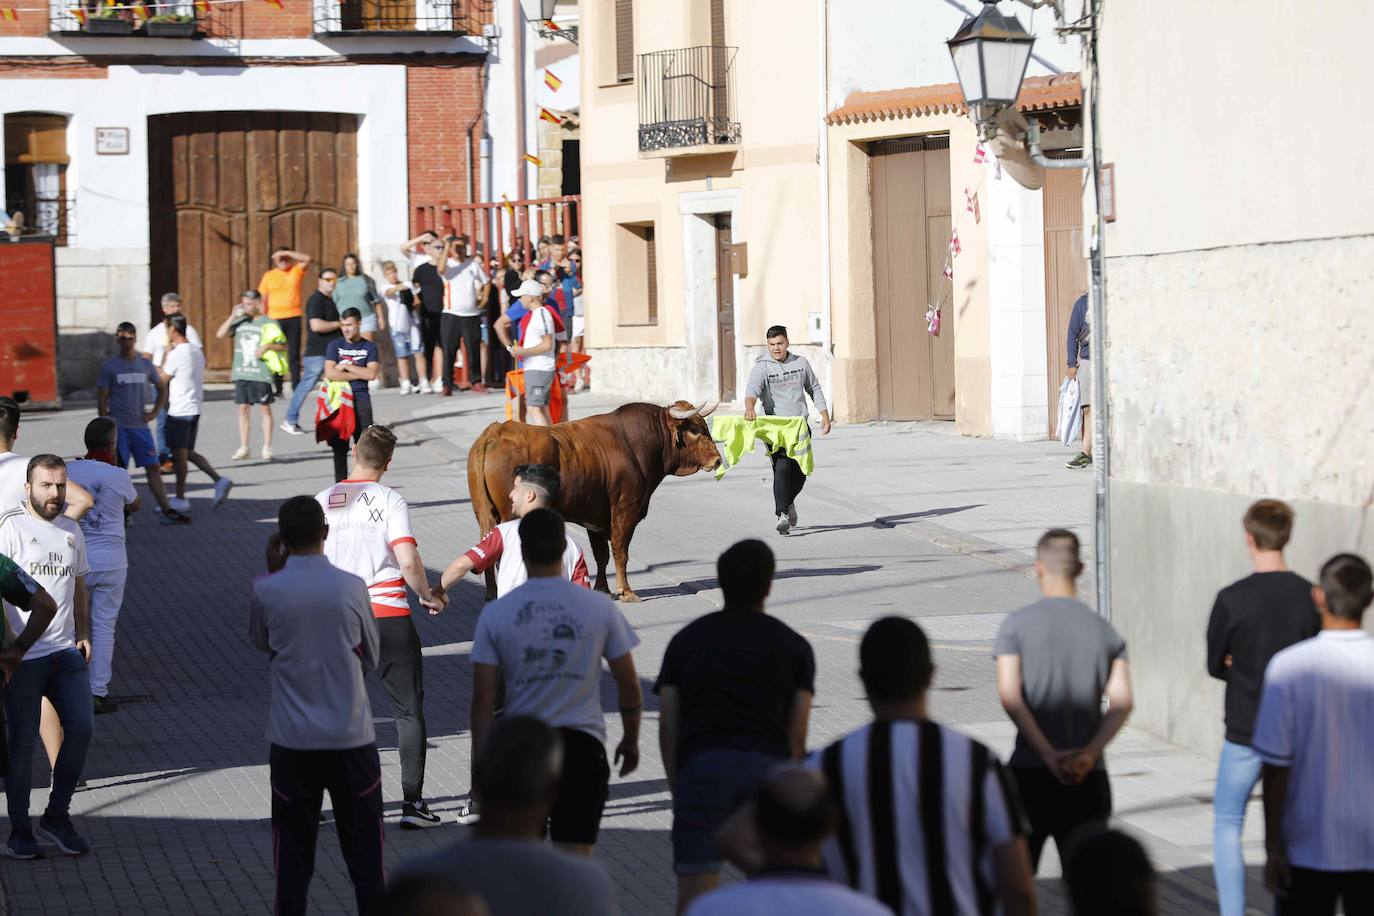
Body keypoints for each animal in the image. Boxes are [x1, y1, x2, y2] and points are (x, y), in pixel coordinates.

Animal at [464, 398, 725, 601]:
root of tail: (495, 433)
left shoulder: (595, 517)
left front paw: (602, 588)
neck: (637, 444)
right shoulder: (625, 510)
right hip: (510, 514)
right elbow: (620, 550)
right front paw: (625, 591)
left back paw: (492, 593)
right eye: (695, 430)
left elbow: (602, 554)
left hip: (483, 513)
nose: (717, 459)